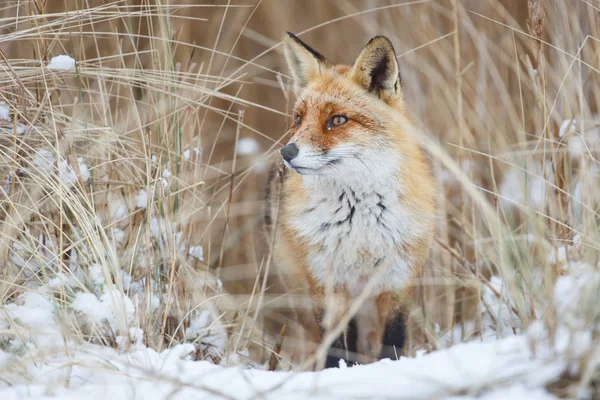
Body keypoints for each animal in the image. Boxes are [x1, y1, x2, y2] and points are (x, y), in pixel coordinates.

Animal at [262, 32, 436, 368]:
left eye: (338, 120)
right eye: (298, 118)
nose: (287, 153)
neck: (359, 222)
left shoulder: (397, 279)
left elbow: (393, 341)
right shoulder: (325, 282)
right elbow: (333, 346)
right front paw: (337, 372)